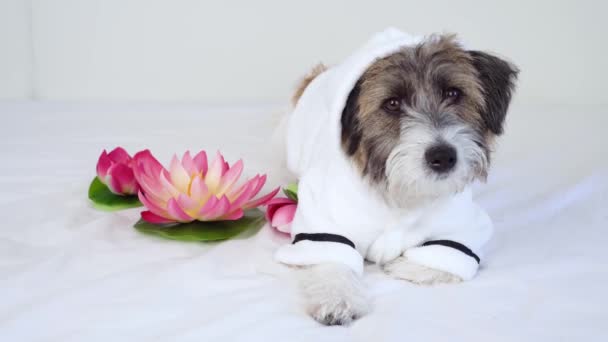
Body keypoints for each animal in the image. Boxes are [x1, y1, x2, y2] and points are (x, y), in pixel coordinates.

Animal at [276, 30, 516, 326]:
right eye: (392, 103)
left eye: (453, 93)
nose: (443, 156)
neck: (400, 195)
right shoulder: (324, 223)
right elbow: (331, 260)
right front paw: (338, 299)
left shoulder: (463, 223)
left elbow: (447, 255)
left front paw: (406, 265)